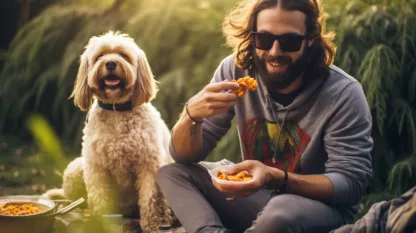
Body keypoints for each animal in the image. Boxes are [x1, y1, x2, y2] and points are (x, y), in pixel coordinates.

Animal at [50, 31, 174, 233]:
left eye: (123, 55)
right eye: (99, 56)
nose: (110, 63)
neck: (117, 109)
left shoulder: (148, 164)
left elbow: (150, 199)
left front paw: (151, 225)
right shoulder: (96, 167)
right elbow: (99, 197)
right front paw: (99, 222)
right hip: (75, 169)